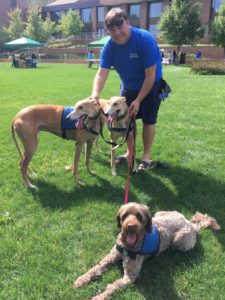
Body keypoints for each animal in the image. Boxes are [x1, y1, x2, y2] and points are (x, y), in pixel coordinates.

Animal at [73, 202, 220, 300]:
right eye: (125, 215)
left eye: (139, 216)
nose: (130, 226)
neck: (127, 246)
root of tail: (191, 224)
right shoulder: (111, 256)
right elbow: (96, 267)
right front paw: (82, 279)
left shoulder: (130, 277)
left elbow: (114, 286)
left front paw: (99, 296)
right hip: (159, 213)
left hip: (180, 241)